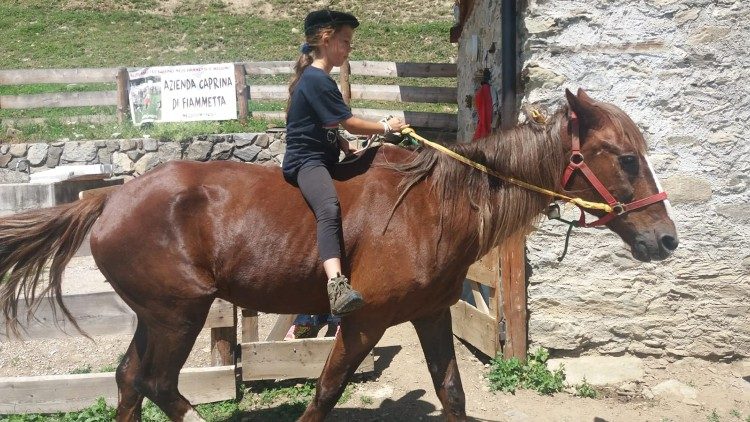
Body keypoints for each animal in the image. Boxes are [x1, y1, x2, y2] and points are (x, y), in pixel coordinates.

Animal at [0, 89, 678, 421]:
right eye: (625, 157)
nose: (666, 238)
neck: (432, 205)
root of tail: (111, 196)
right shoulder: (362, 323)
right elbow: (324, 395)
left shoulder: (431, 315)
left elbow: (454, 395)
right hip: (178, 315)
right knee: (155, 382)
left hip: (159, 315)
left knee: (130, 381)